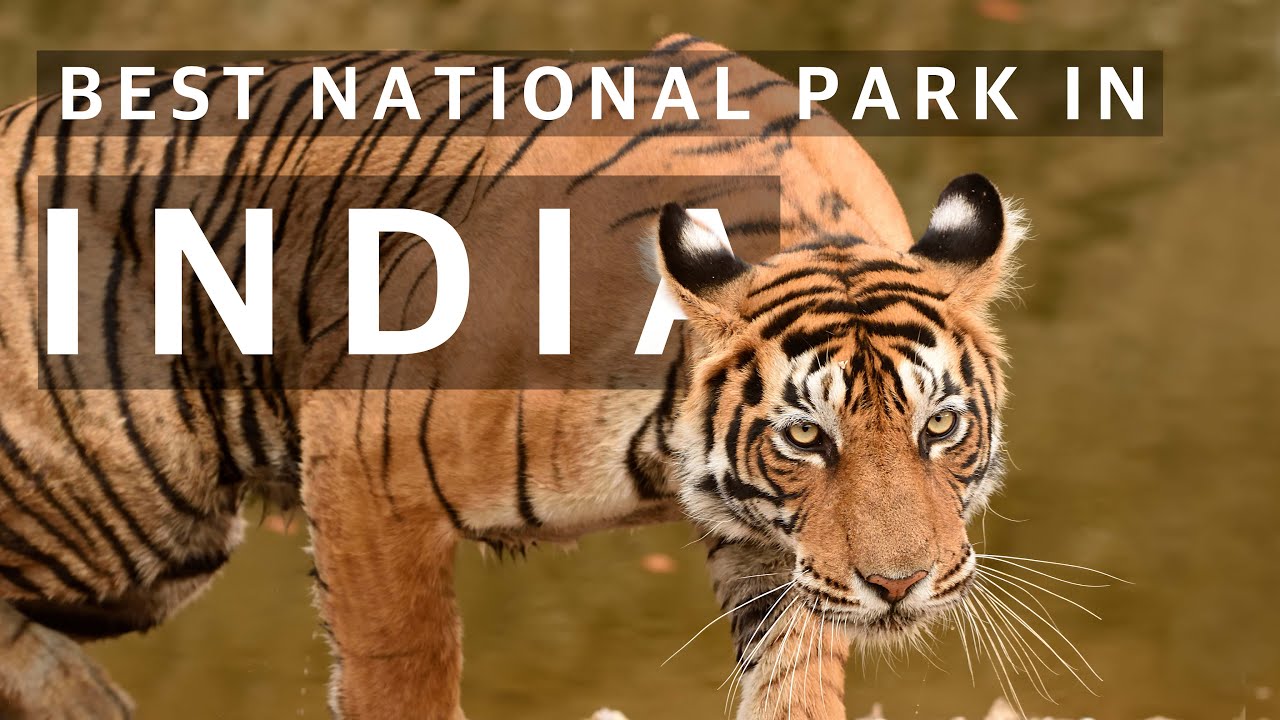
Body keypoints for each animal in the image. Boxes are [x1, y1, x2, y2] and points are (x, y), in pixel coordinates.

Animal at [0, 35, 1024, 719]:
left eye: (940, 427)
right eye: (806, 438)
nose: (899, 585)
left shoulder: (783, 555)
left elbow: (792, 678)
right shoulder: (367, 477)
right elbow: (401, 673)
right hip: (118, 519)